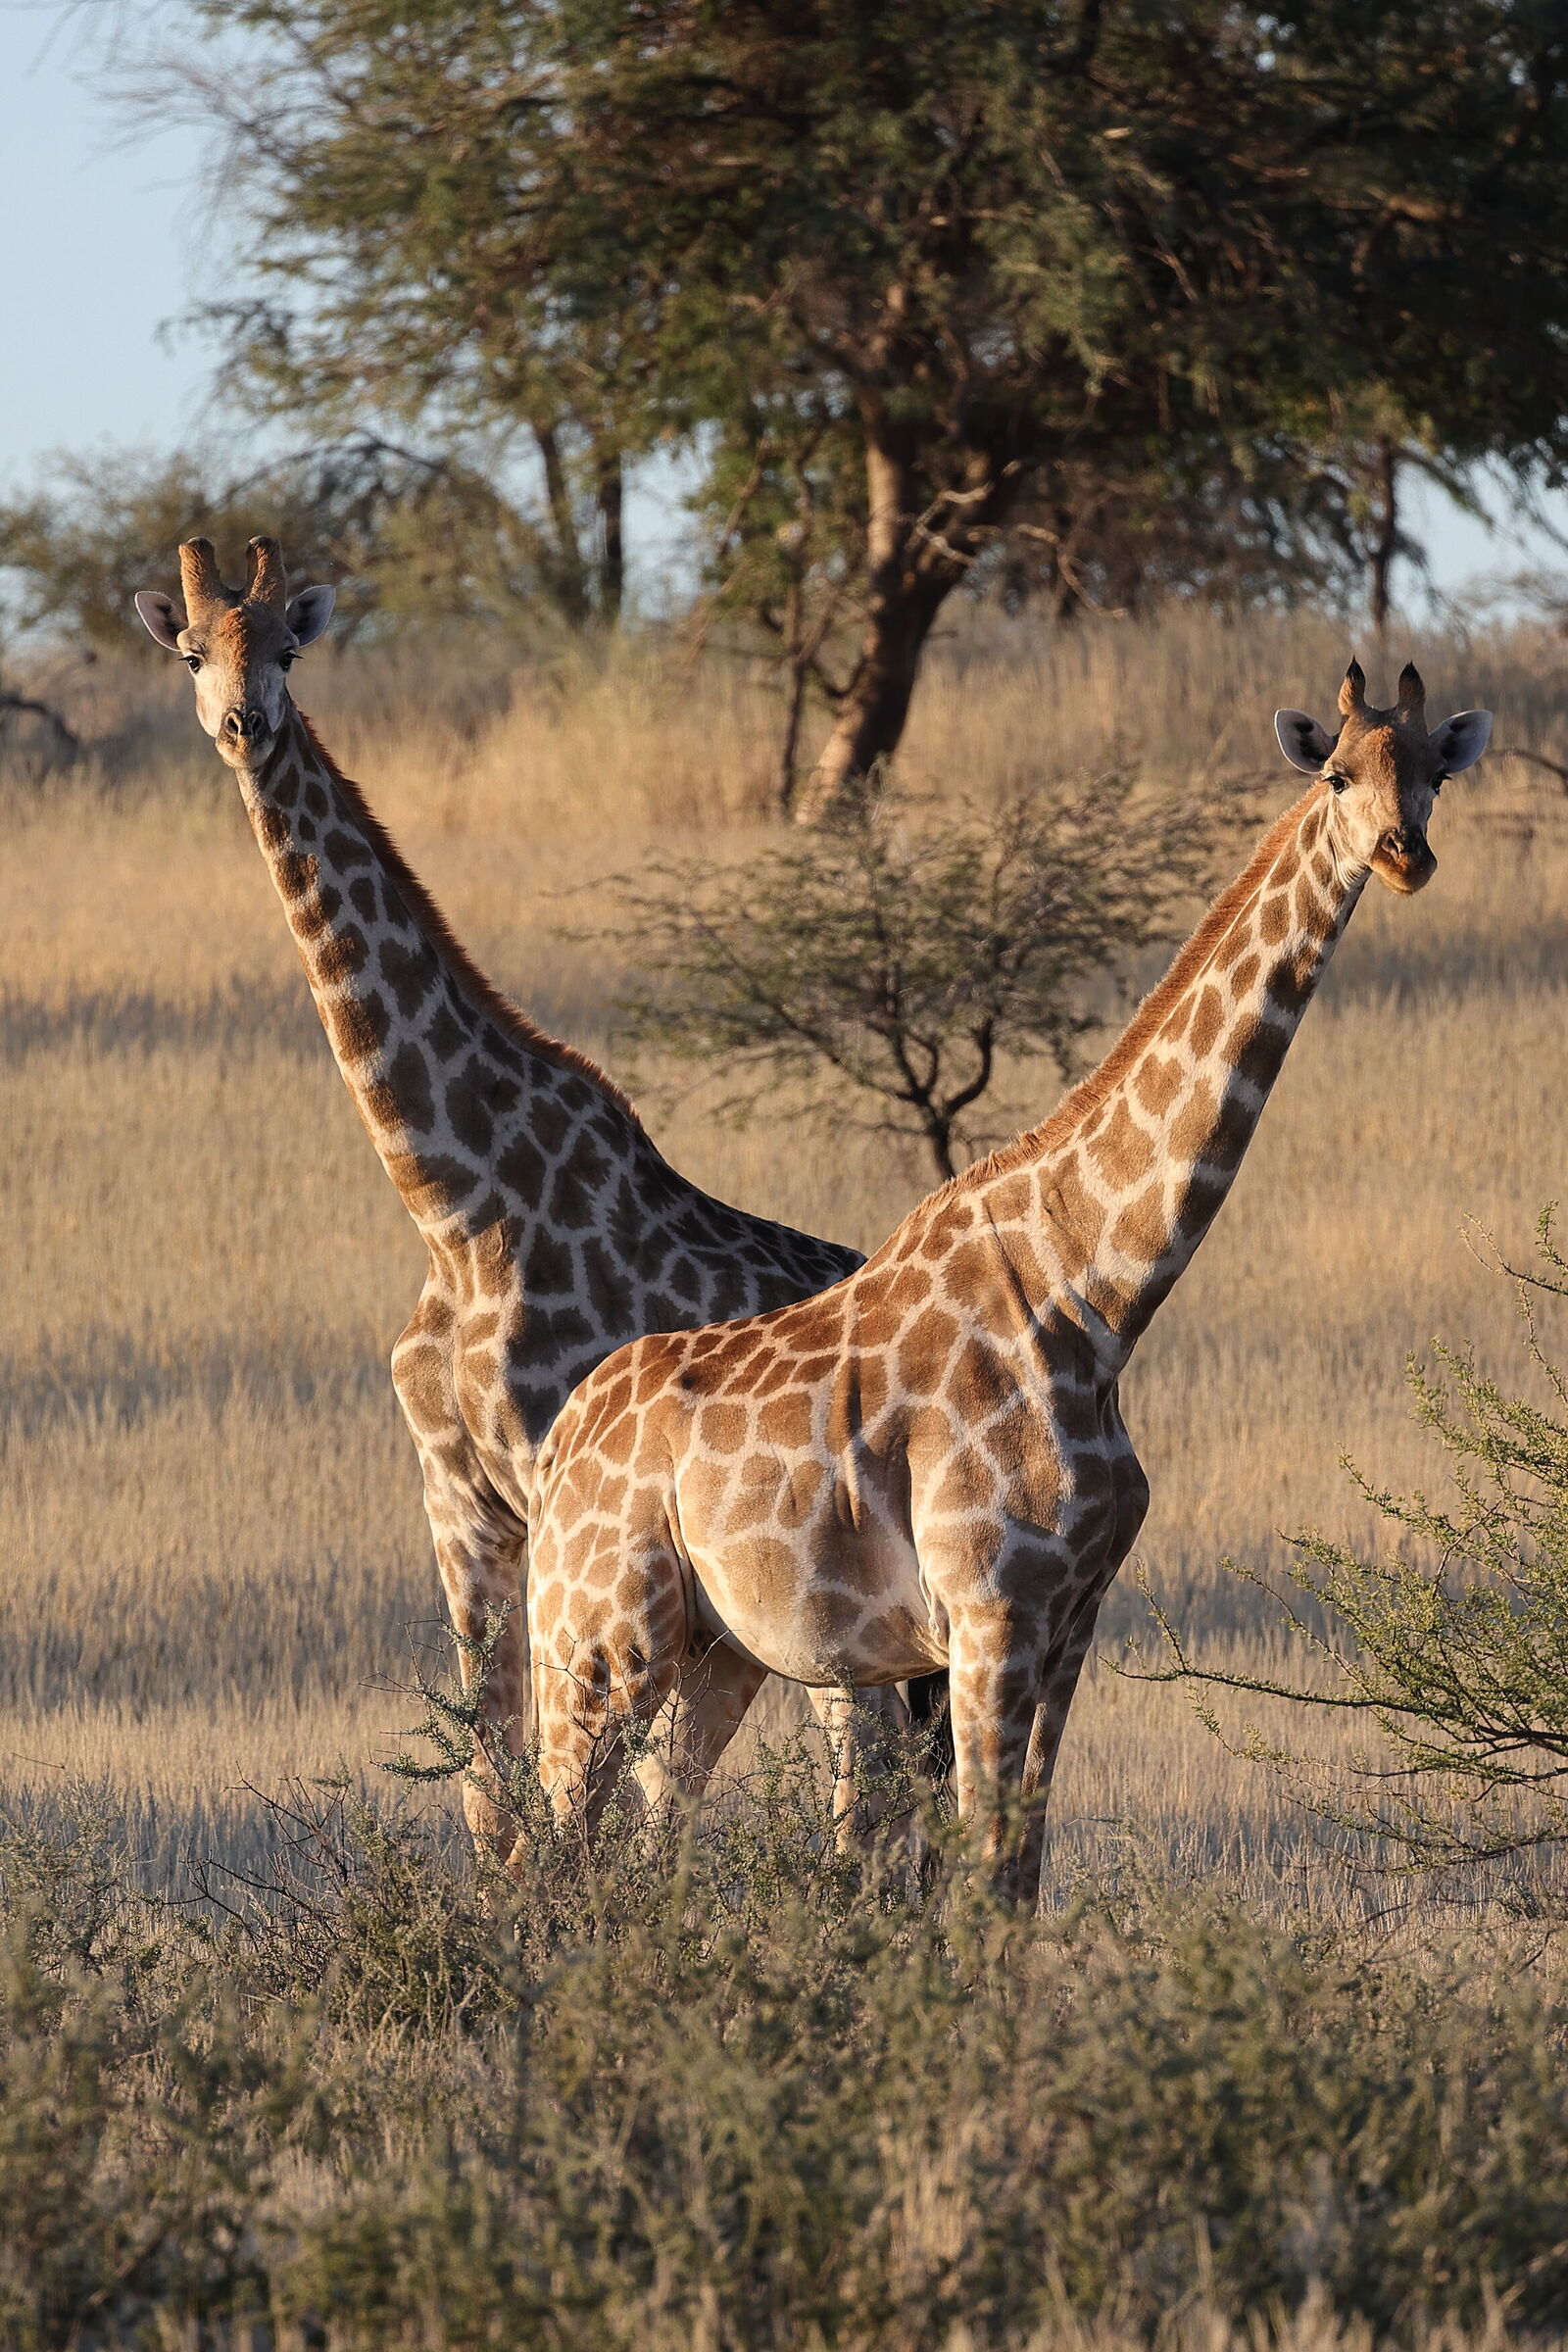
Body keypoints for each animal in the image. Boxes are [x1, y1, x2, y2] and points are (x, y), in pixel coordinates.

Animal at [134, 534, 944, 1863]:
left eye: (291, 648)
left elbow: (582, 1798)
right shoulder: (459, 1503)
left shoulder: (568, 1499)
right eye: (193, 652)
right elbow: (489, 1789)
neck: (456, 1205)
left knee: (869, 1782)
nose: (245, 726)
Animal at [525, 660, 1493, 1897]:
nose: (1406, 855)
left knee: (651, 1838)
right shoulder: (987, 1614)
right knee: (546, 1852)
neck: (1099, 1295)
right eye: (1334, 772)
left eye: (1431, 774)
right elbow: (976, 1869)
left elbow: (1017, 1872)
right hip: (596, 1636)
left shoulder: (1070, 1617)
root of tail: (558, 1445)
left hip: (714, 1651)